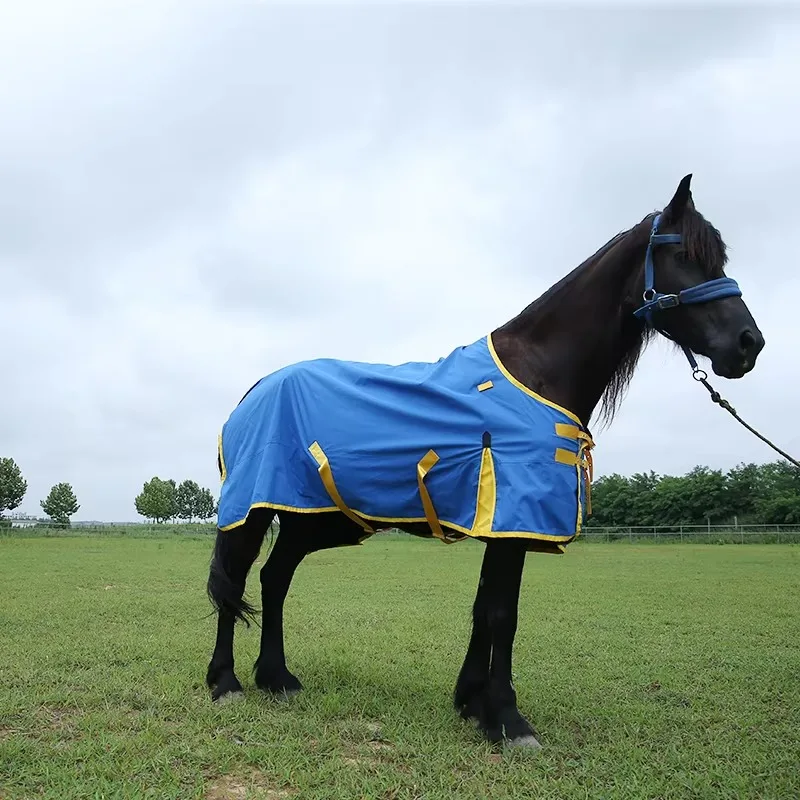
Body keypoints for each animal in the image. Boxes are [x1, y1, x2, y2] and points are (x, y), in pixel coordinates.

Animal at [205, 175, 764, 749]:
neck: (536, 372)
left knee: (274, 578)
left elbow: (482, 609)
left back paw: (277, 678)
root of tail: (255, 390)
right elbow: (501, 614)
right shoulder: (513, 523)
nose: (749, 344)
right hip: (252, 511)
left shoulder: (501, 523)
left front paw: (472, 703)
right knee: (235, 580)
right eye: (686, 256)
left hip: (314, 519)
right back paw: (226, 683)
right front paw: (508, 719)